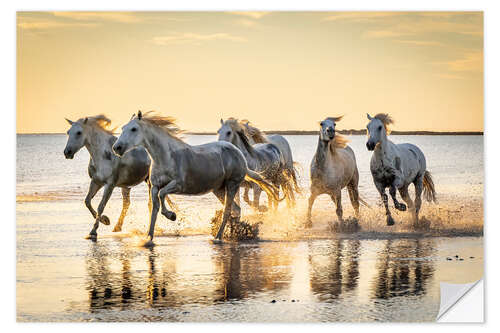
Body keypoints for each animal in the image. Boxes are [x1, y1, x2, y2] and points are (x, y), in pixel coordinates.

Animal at [112, 111, 282, 244]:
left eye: (134, 129)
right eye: (123, 128)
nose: (116, 148)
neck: (165, 156)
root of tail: (240, 155)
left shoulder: (178, 185)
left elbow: (162, 195)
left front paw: (172, 216)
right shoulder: (154, 186)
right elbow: (154, 207)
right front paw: (148, 238)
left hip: (232, 185)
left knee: (228, 211)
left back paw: (218, 237)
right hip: (218, 189)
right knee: (236, 209)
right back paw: (233, 233)